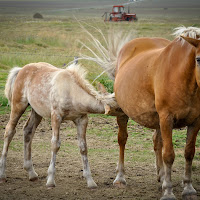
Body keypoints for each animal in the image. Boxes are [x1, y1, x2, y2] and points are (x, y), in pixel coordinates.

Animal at [81, 27, 200, 200]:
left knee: (157, 142)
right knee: (122, 140)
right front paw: (168, 192)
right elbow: (169, 155)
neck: (182, 77)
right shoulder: (166, 118)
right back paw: (120, 178)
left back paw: (161, 177)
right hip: (125, 113)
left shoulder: (195, 121)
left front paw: (188, 188)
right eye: (198, 59)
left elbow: (189, 153)